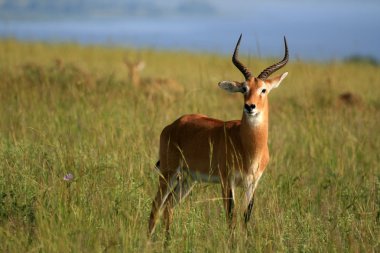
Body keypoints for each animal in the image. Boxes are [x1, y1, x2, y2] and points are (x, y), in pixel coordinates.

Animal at [148, 34, 288, 239]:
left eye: (263, 89)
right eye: (244, 88)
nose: (250, 106)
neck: (248, 147)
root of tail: (173, 124)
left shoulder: (252, 184)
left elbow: (246, 218)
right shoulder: (227, 181)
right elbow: (231, 217)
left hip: (188, 179)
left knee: (168, 205)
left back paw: (168, 241)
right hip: (169, 172)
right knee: (156, 205)